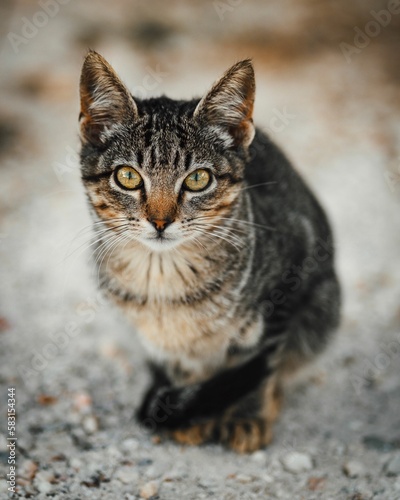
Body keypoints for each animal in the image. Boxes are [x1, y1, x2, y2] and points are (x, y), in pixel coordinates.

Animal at [79, 50, 340, 454]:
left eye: (198, 179)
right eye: (128, 176)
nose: (160, 220)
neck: (165, 282)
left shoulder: (288, 280)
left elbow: (259, 363)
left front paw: (246, 416)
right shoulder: (160, 344)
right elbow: (183, 367)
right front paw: (192, 412)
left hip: (323, 305)